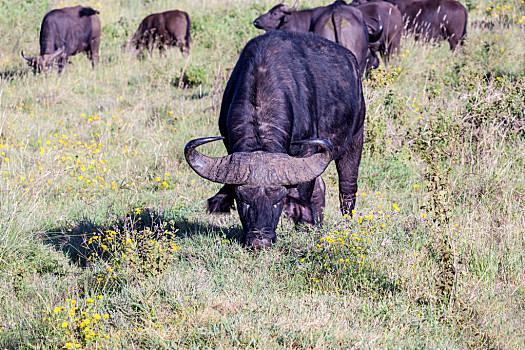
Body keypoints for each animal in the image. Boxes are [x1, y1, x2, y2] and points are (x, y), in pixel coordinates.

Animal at [184, 30, 364, 249]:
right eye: (242, 200)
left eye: (278, 200)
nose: (260, 241)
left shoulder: (307, 151)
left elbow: (304, 191)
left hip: (355, 139)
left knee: (347, 189)